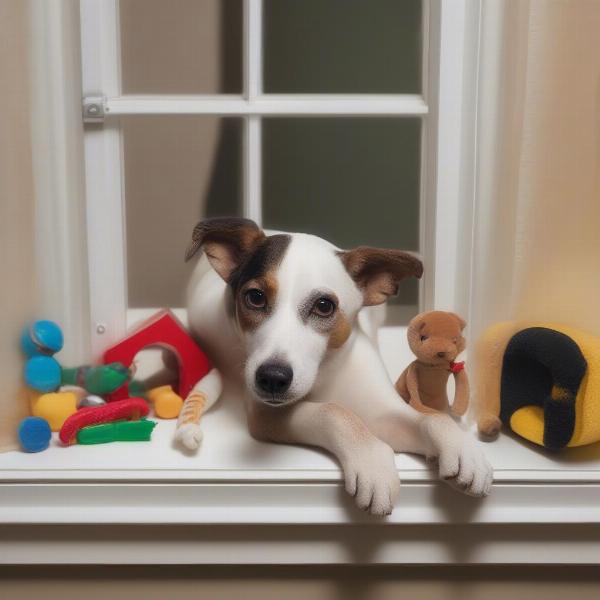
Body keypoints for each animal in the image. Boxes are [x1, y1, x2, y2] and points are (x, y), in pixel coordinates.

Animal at [175, 218, 492, 516]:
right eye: (255, 297)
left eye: (324, 306)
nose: (272, 378)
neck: (324, 372)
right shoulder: (266, 412)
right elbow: (334, 411)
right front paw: (371, 460)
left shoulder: (381, 408)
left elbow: (431, 419)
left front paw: (461, 445)